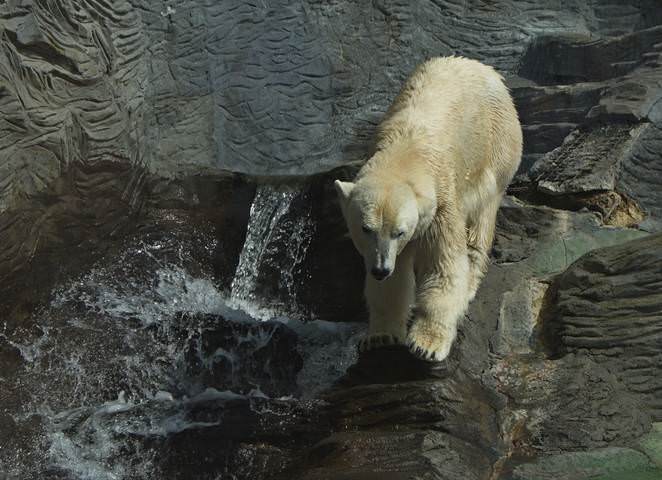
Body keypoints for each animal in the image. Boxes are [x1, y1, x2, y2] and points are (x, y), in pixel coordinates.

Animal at [334, 56, 522, 361]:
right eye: (366, 228)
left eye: (400, 231)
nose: (380, 269)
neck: (405, 148)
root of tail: (486, 69)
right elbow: (394, 282)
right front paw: (380, 336)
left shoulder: (442, 205)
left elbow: (442, 266)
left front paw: (427, 343)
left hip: (496, 149)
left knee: (479, 225)